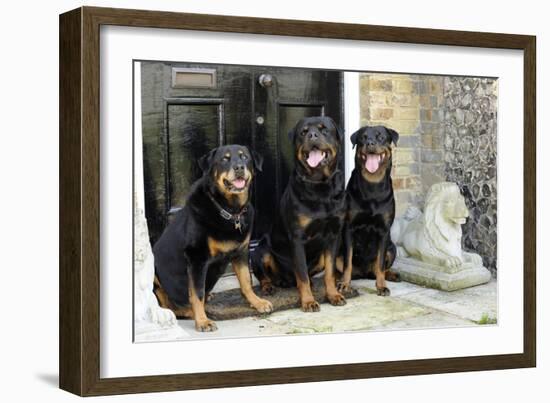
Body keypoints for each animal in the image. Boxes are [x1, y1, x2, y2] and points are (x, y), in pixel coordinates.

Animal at [153, 144, 274, 332]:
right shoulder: (196, 258)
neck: (230, 211)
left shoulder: (241, 252)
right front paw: (202, 321)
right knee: (167, 305)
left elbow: (246, 281)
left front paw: (257, 302)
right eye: (224, 159)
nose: (239, 167)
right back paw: (188, 311)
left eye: (245, 157)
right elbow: (197, 293)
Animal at [252, 117, 348, 312]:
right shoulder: (297, 237)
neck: (320, 185)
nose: (312, 135)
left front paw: (333, 295)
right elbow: (301, 274)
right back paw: (269, 286)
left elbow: (330, 272)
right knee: (264, 274)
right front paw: (308, 301)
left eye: (324, 130)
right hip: (260, 250)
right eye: (303, 132)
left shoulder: (334, 235)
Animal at [338, 125, 404, 296]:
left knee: (379, 268)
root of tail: (364, 273)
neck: (372, 185)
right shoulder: (349, 228)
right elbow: (347, 263)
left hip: (392, 248)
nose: (370, 143)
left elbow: (380, 264)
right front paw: (345, 285)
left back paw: (391, 275)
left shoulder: (384, 231)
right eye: (363, 138)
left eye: (380, 137)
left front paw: (381, 286)